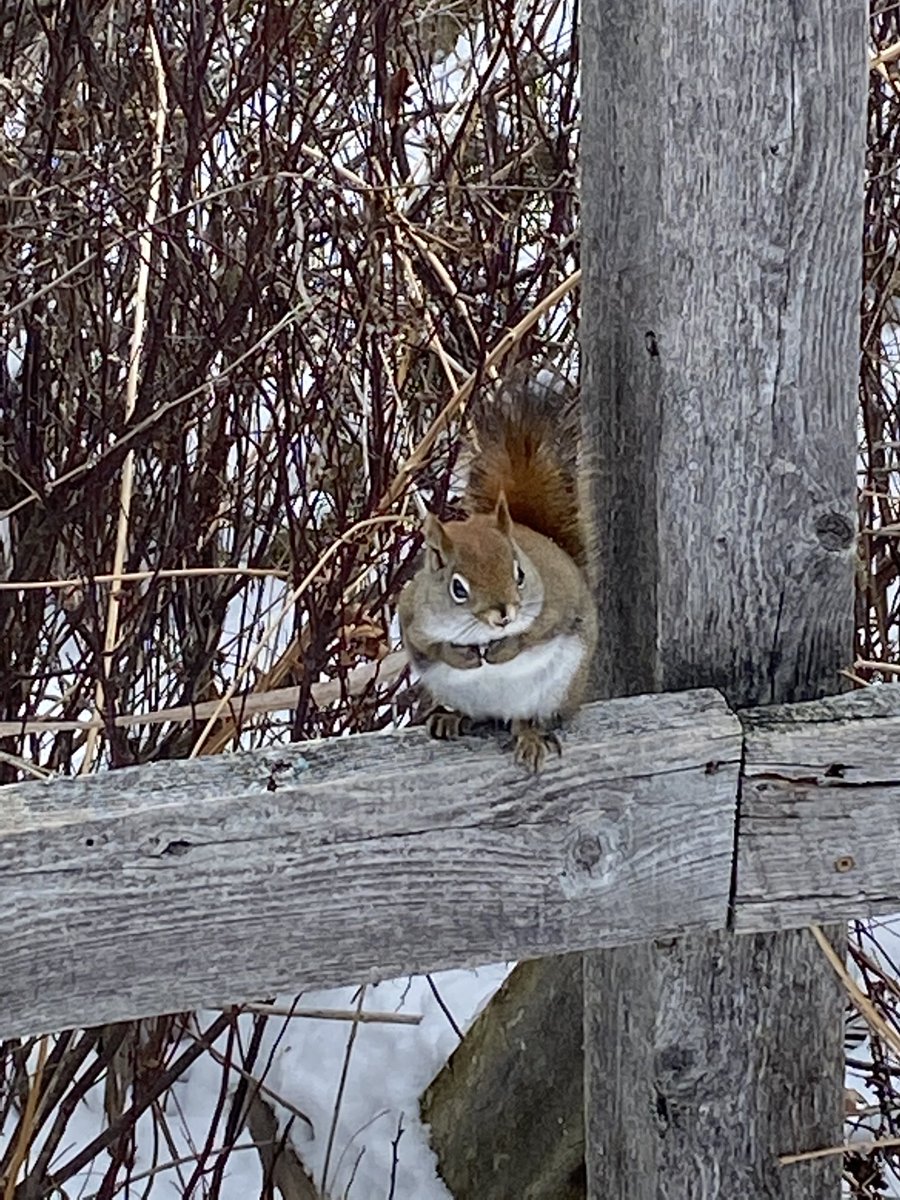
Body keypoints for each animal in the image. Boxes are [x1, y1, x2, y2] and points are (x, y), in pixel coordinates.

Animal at [398, 388, 597, 771]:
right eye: (458, 588)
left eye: (519, 574)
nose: (504, 614)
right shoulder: (413, 616)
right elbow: (428, 646)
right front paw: (460, 656)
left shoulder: (555, 604)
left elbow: (536, 634)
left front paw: (506, 649)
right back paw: (451, 717)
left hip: (552, 691)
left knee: (524, 719)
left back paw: (529, 736)